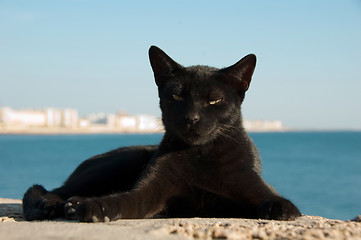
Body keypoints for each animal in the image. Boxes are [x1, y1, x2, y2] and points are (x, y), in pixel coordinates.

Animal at [21, 46, 300, 222]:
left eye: (214, 100)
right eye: (177, 96)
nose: (192, 117)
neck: (199, 155)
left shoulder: (247, 187)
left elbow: (274, 200)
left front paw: (280, 209)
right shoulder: (152, 190)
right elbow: (125, 200)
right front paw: (98, 208)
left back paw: (72, 204)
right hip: (114, 165)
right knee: (50, 189)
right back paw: (52, 206)